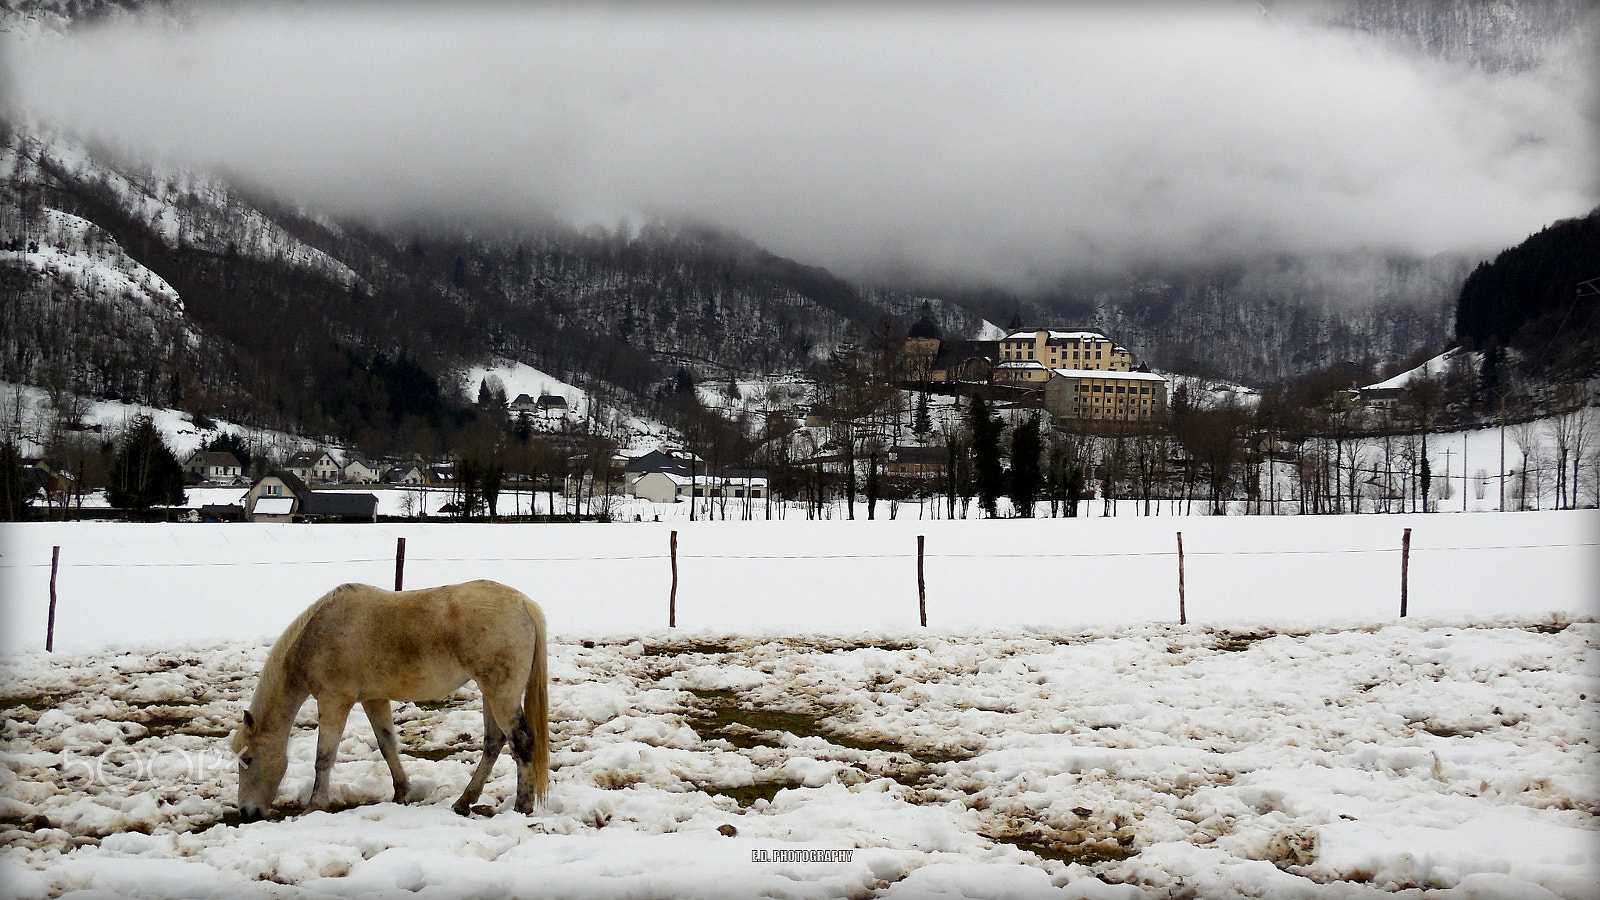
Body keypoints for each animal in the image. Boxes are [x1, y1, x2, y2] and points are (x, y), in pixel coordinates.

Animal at [228, 573, 547, 819]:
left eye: (249, 760)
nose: (247, 813)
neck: (319, 634)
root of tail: (524, 603)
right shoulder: (374, 699)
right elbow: (387, 745)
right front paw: (401, 793)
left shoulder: (334, 701)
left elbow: (324, 756)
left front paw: (314, 806)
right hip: (489, 692)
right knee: (494, 743)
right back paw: (463, 802)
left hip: (500, 693)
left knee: (521, 742)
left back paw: (522, 806)